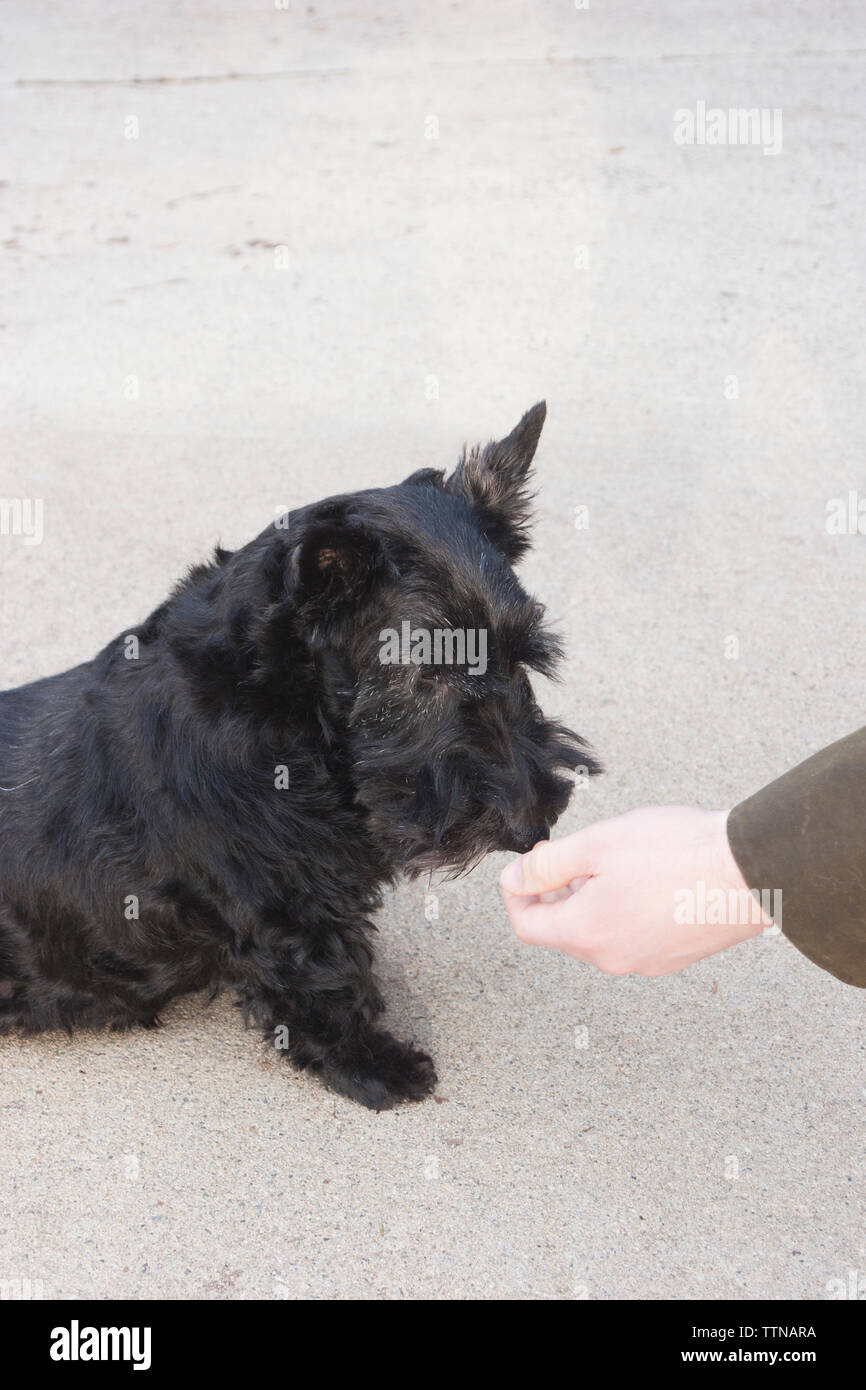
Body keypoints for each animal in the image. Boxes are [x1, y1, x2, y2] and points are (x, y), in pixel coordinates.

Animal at [0, 403, 594, 1106]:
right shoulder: (285, 907)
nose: (536, 826)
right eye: (429, 676)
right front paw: (375, 1065)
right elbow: (325, 984)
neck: (287, 713)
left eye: (524, 655)